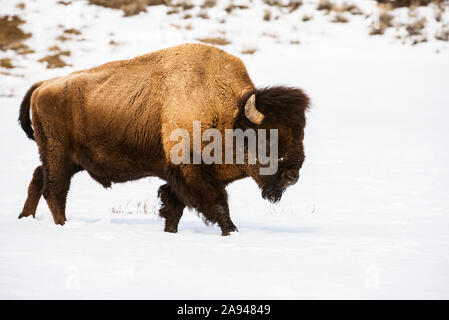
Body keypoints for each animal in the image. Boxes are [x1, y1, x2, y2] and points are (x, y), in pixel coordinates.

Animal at [19, 43, 310, 235]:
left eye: (301, 133)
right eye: (268, 137)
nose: (292, 176)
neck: (229, 116)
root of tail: (44, 86)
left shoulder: (181, 176)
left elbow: (173, 207)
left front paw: (170, 232)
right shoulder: (192, 171)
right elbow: (217, 204)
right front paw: (232, 232)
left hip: (65, 160)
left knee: (38, 178)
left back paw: (25, 217)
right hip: (59, 155)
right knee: (55, 191)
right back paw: (62, 226)